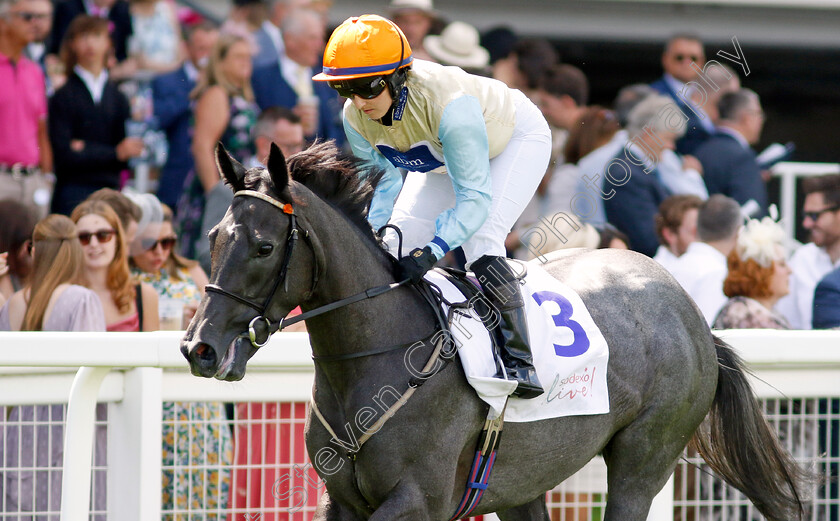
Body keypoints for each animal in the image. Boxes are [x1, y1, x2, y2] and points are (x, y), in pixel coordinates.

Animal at [180, 142, 804, 520]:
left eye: (264, 246)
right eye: (212, 236)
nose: (199, 348)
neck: (376, 359)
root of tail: (688, 310)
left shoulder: (418, 499)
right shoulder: (344, 499)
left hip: (645, 456)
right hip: (522, 478)